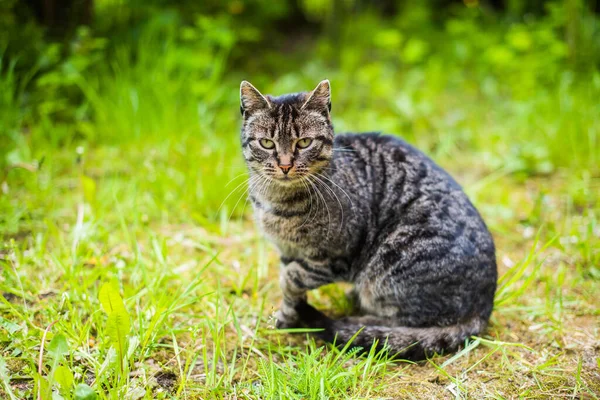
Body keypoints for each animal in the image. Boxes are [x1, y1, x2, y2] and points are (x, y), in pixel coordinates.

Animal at [239, 79, 496, 360]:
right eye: (267, 143)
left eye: (304, 142)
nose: (285, 166)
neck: (276, 200)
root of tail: (484, 308)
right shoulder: (287, 250)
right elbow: (292, 288)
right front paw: (289, 318)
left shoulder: (333, 258)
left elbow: (292, 278)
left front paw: (294, 309)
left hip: (388, 267)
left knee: (402, 327)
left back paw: (355, 321)